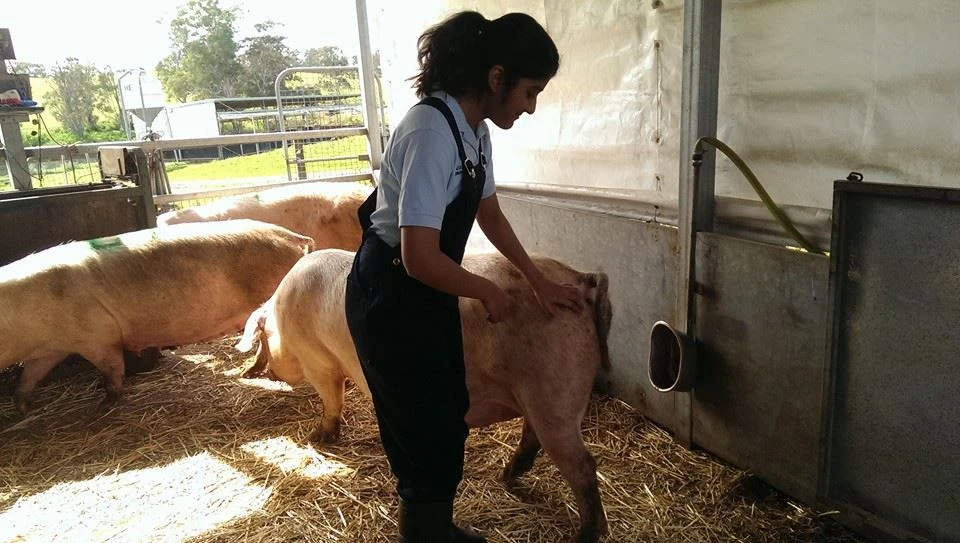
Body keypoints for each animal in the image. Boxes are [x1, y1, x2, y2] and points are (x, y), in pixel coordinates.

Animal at [0, 219, 313, 413]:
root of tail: (293, 237)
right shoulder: (49, 349)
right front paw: (22, 408)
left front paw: (103, 406)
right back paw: (247, 373)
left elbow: (112, 368)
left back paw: (251, 373)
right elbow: (29, 376)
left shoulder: (98, 336)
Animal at [237, 249, 612, 543]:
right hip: (540, 397)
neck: (283, 316)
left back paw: (584, 535)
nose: (266, 372)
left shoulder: (319, 361)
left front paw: (317, 437)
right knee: (532, 438)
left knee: (583, 465)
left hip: (553, 394)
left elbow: (331, 399)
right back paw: (505, 476)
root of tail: (580, 279)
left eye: (263, 341)